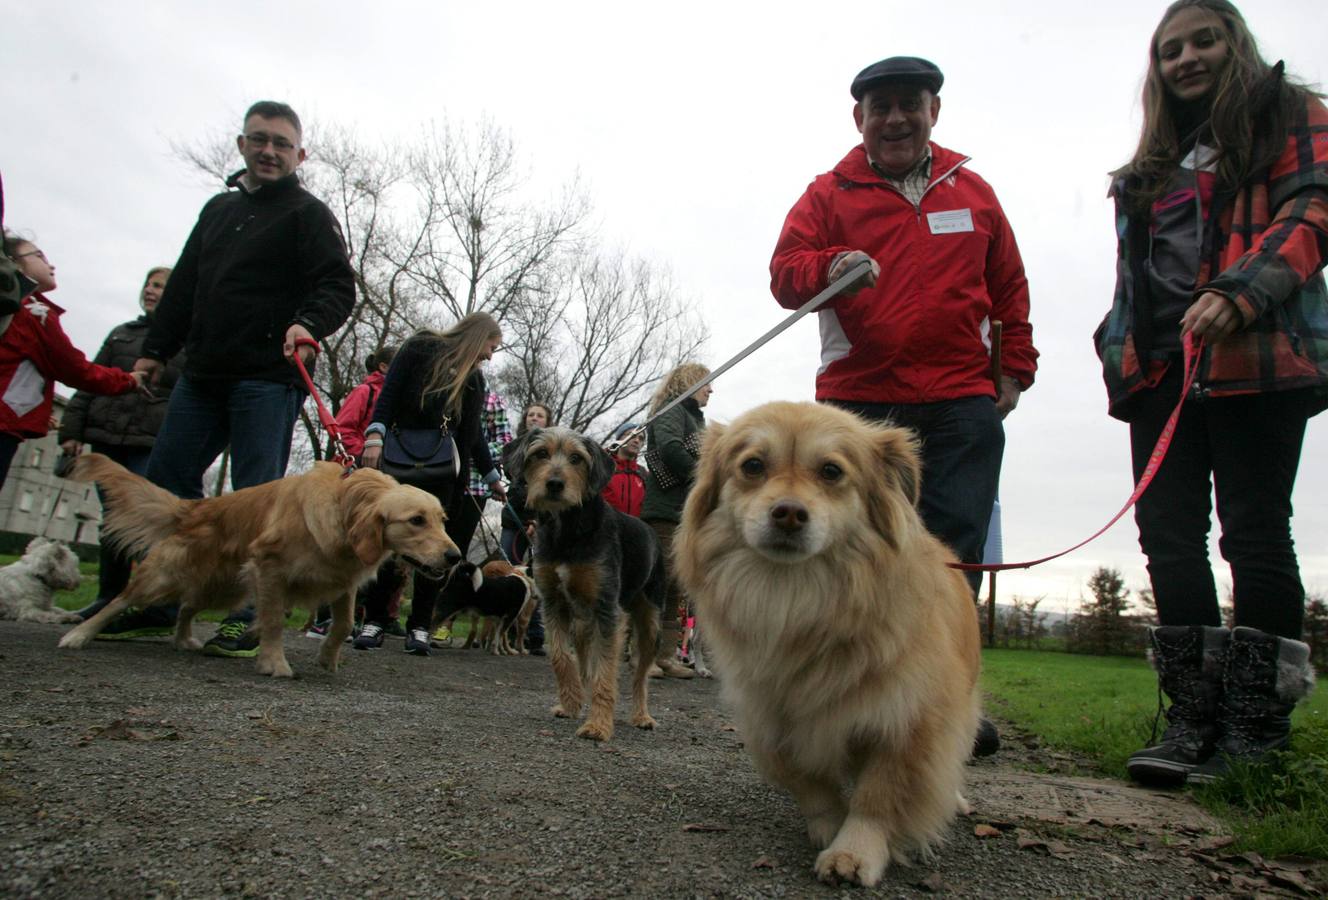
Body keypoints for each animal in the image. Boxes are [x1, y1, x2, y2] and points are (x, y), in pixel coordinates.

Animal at [55, 453, 462, 679]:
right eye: (416, 520)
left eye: (443, 520)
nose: (454, 556)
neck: (346, 506)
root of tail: (196, 508)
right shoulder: (270, 569)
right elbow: (273, 620)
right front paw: (273, 662)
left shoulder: (342, 580)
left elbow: (345, 623)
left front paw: (327, 659)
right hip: (165, 575)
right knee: (120, 600)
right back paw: (79, 634)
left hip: (224, 587)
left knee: (187, 606)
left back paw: (184, 639)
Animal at [499, 427, 664, 743]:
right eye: (540, 453)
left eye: (577, 458)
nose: (554, 484)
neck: (568, 528)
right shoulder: (553, 604)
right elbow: (561, 658)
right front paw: (571, 703)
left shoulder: (607, 610)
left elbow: (604, 673)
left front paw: (598, 725)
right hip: (582, 625)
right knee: (586, 664)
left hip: (649, 624)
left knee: (640, 676)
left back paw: (642, 716)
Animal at [679, 400, 982, 886]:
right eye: (752, 466)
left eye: (831, 471)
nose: (788, 512)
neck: (794, 597)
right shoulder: (773, 716)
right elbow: (807, 781)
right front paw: (829, 823)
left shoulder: (909, 717)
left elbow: (878, 796)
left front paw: (854, 850)